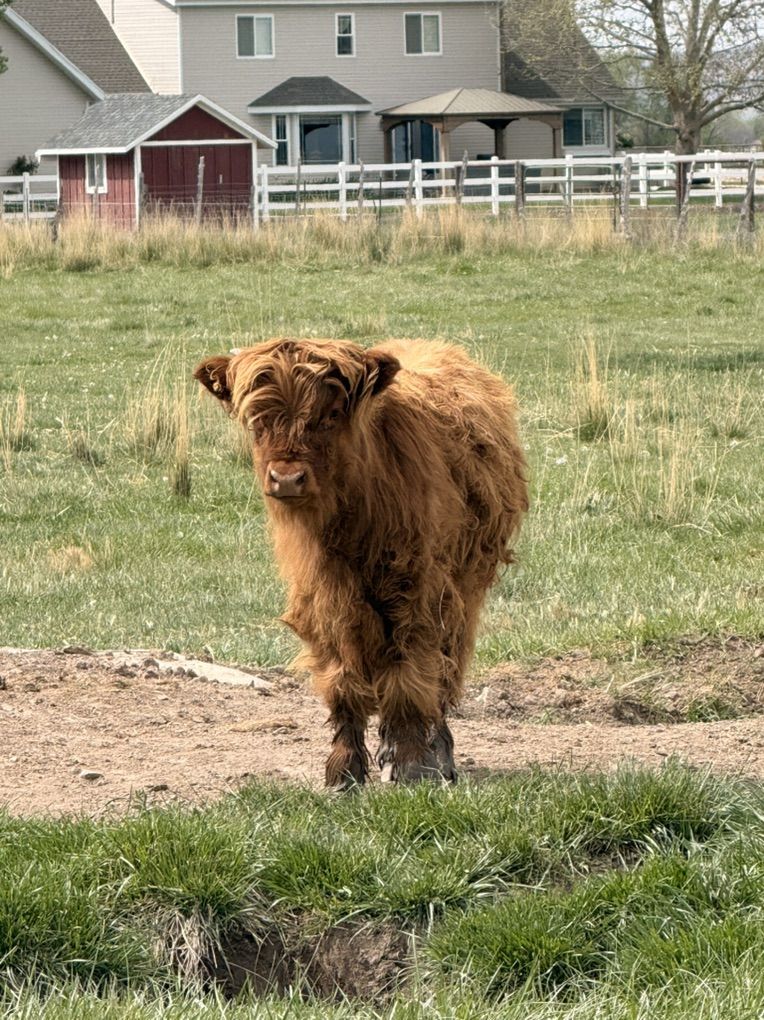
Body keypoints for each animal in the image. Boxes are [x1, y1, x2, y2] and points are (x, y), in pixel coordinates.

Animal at [194, 338, 528, 789]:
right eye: (258, 421)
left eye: (331, 416)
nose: (287, 478)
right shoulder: (323, 598)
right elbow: (342, 682)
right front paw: (343, 771)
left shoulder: (415, 593)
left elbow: (409, 678)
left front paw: (411, 768)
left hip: (463, 589)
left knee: (444, 671)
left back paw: (439, 755)